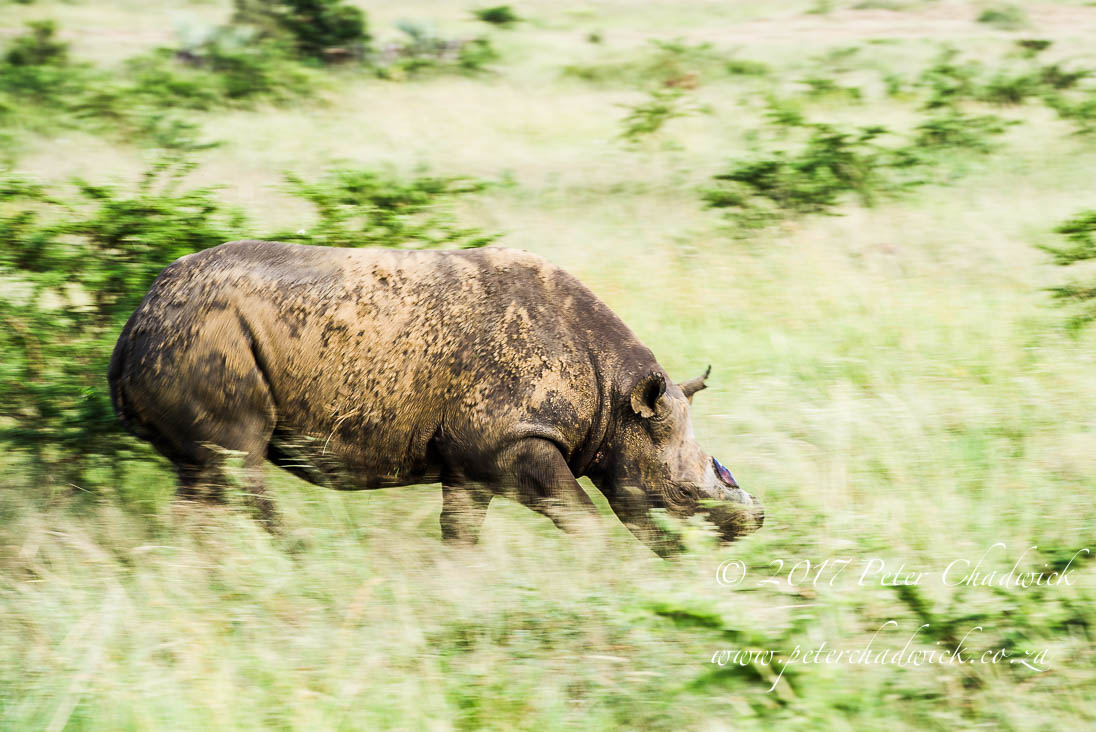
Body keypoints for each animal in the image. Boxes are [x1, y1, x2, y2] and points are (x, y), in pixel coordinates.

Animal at [108, 241, 762, 554]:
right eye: (682, 495)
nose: (752, 525)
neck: (617, 398)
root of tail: (133, 324)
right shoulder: (511, 438)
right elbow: (578, 514)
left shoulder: (475, 458)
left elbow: (461, 528)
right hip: (203, 333)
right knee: (237, 459)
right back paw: (303, 557)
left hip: (186, 336)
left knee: (202, 474)